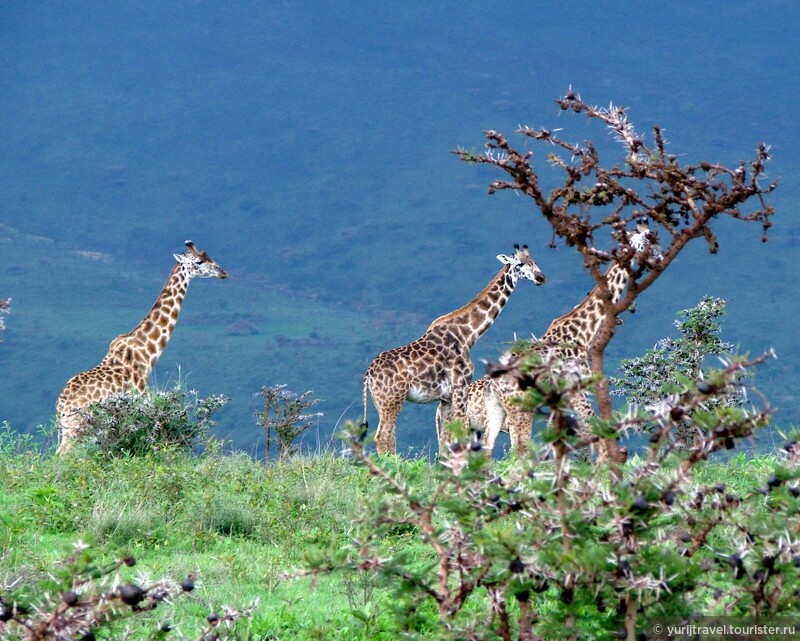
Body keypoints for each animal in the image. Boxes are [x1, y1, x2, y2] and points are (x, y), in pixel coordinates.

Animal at [55, 238, 228, 452]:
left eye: (209, 256)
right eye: (198, 262)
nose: (223, 272)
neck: (147, 354)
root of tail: (61, 405)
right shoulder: (141, 403)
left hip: (66, 428)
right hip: (78, 426)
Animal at [360, 242, 544, 452]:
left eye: (534, 261)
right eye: (520, 264)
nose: (540, 278)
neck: (469, 334)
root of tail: (368, 375)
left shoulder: (446, 398)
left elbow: (446, 439)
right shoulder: (460, 387)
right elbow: (459, 433)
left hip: (382, 402)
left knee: (388, 436)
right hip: (392, 400)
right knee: (382, 436)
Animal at [468, 220, 664, 456]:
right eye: (647, 240)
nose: (659, 259)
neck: (582, 333)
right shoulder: (577, 391)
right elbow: (591, 432)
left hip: (499, 409)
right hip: (519, 407)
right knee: (519, 449)